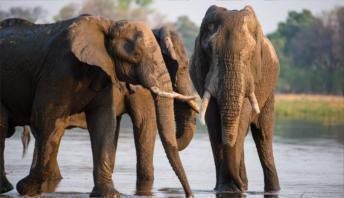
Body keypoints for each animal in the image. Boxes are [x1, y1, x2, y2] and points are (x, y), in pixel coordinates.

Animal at [0, 15, 194, 196]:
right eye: (184, 67)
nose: (190, 194)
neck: (109, 25)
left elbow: (104, 122)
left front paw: (109, 194)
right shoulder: (58, 69)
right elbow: (45, 118)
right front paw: (25, 188)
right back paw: (10, 187)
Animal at [189, 5, 280, 193]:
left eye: (251, 52)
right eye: (210, 50)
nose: (242, 187)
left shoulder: (253, 75)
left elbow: (242, 119)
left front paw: (231, 189)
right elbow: (214, 124)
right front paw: (227, 189)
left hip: (270, 91)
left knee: (263, 135)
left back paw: (270, 189)